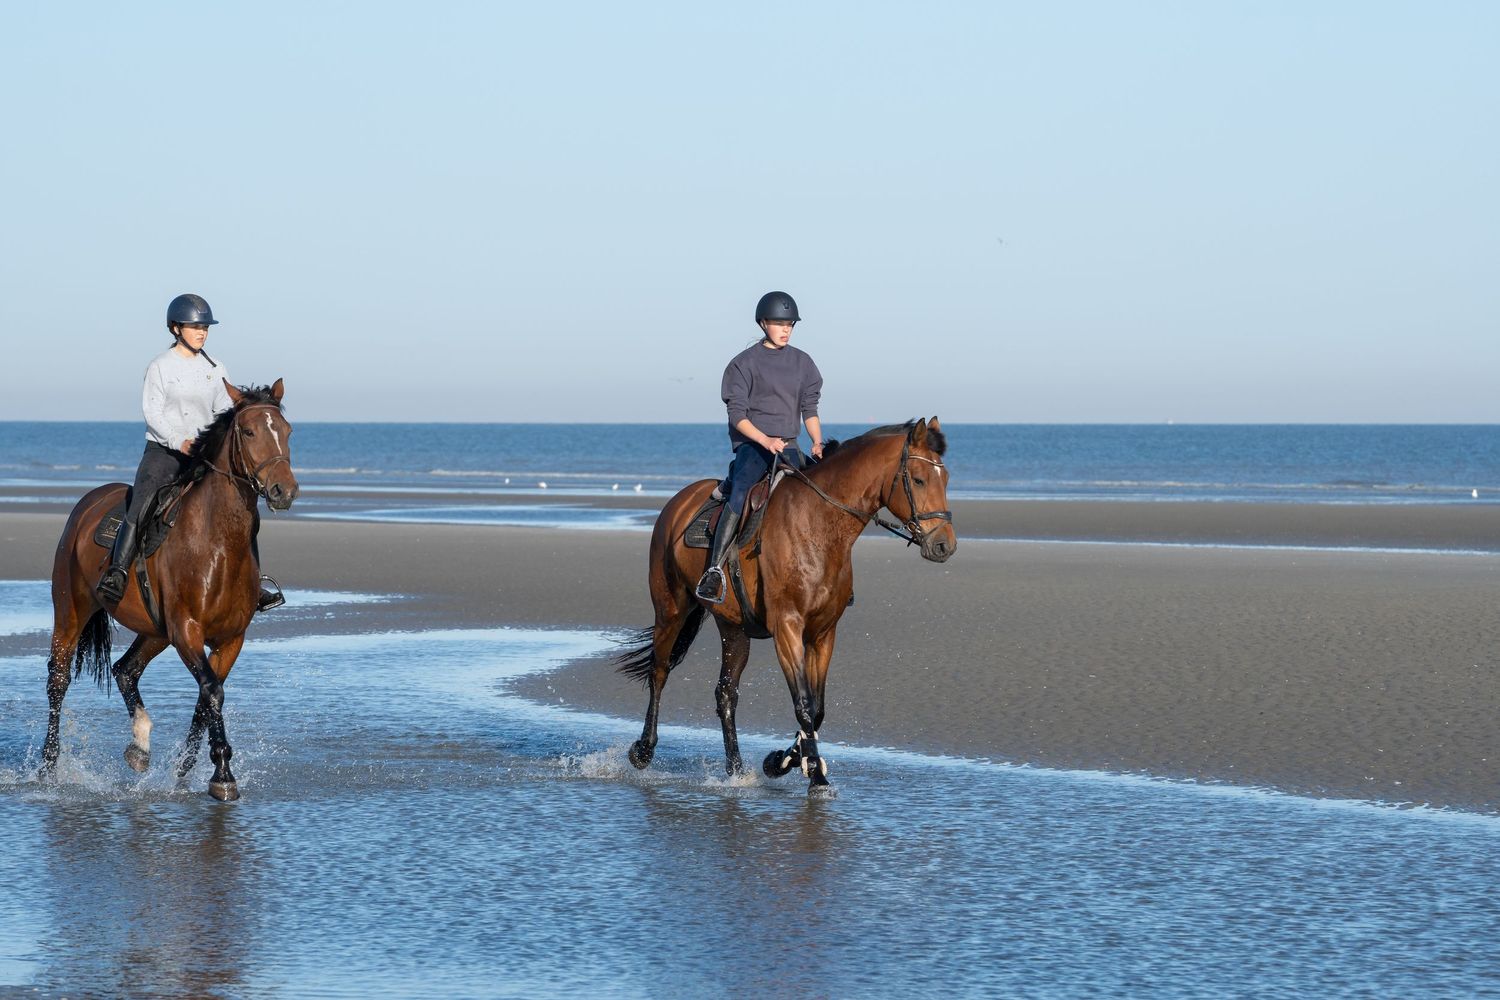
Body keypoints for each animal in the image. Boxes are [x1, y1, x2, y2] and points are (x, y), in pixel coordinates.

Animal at [41, 379, 299, 801]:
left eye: (287, 431)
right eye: (248, 432)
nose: (284, 490)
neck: (219, 542)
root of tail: (88, 503)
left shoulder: (230, 639)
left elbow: (207, 699)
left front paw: (185, 769)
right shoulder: (187, 631)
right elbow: (211, 692)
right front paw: (222, 774)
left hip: (155, 631)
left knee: (125, 669)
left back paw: (139, 746)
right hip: (71, 611)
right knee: (58, 680)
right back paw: (48, 767)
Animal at [617, 416, 956, 796]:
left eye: (946, 478)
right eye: (919, 479)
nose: (944, 545)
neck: (818, 525)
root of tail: (678, 503)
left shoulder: (823, 633)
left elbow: (818, 708)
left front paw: (783, 761)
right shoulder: (787, 628)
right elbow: (804, 705)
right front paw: (816, 776)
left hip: (733, 629)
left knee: (726, 694)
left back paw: (736, 770)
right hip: (671, 610)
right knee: (659, 672)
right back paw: (643, 751)